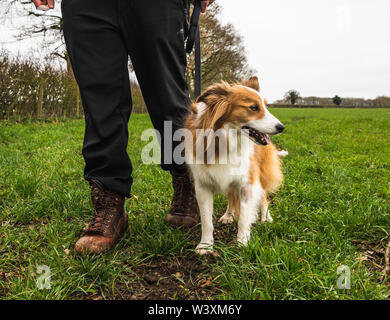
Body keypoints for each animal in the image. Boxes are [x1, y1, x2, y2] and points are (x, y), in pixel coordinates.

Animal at [183, 76, 286, 254]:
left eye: (265, 106)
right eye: (253, 107)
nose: (281, 127)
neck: (225, 139)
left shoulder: (247, 183)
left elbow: (244, 217)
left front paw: (243, 243)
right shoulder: (203, 186)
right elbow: (206, 221)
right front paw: (205, 245)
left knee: (263, 196)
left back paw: (266, 217)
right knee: (231, 195)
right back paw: (228, 215)